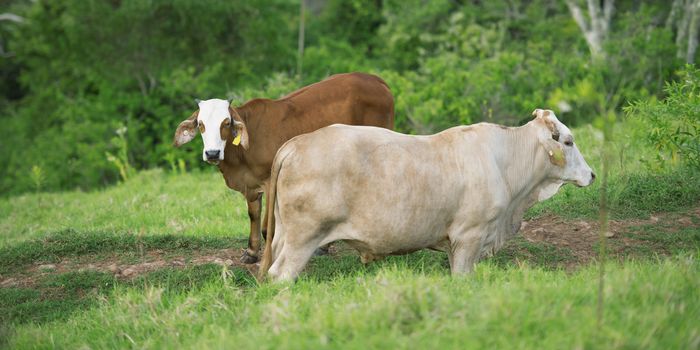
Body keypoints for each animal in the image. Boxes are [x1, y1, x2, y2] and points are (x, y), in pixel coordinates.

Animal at [172, 72, 394, 262]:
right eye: (201, 124)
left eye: (226, 123)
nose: (212, 153)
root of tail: (375, 79)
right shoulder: (251, 185)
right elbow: (254, 215)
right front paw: (251, 252)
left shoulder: (271, 181)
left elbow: (267, 225)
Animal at [262, 108, 596, 280]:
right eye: (568, 141)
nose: (592, 175)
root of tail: (297, 143)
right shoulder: (469, 236)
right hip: (302, 238)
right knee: (280, 274)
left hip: (283, 236)